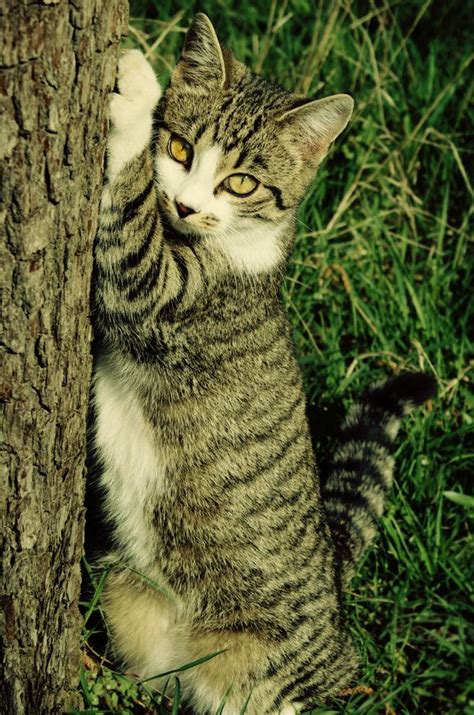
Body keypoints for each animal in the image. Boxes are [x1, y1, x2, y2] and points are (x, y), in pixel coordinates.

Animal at [90, 12, 436, 715]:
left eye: (242, 182)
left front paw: (137, 86)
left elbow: (130, 229)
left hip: (281, 675)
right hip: (121, 586)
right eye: (180, 150)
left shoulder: (162, 293)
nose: (188, 206)